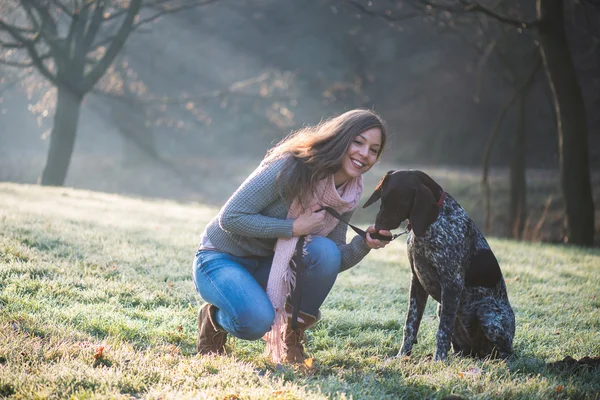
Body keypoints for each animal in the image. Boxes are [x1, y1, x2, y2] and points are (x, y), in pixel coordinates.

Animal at [364, 169, 512, 360]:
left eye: (398, 205)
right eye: (382, 199)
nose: (377, 227)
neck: (431, 224)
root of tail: (477, 352)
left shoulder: (452, 284)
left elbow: (442, 330)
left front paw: (438, 360)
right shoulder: (417, 280)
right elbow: (410, 325)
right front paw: (402, 356)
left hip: (487, 313)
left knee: (505, 351)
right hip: (442, 308)